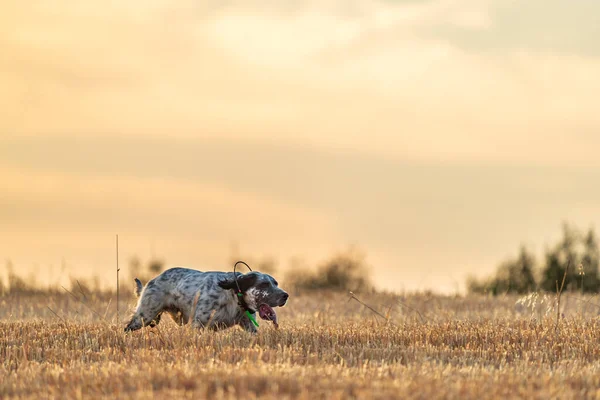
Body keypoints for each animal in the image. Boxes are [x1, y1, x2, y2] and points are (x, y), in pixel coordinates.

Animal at [123, 268, 288, 332]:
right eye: (264, 284)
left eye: (276, 283)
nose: (285, 295)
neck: (233, 297)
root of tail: (152, 280)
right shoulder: (198, 324)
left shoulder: (248, 325)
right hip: (144, 316)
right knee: (127, 328)